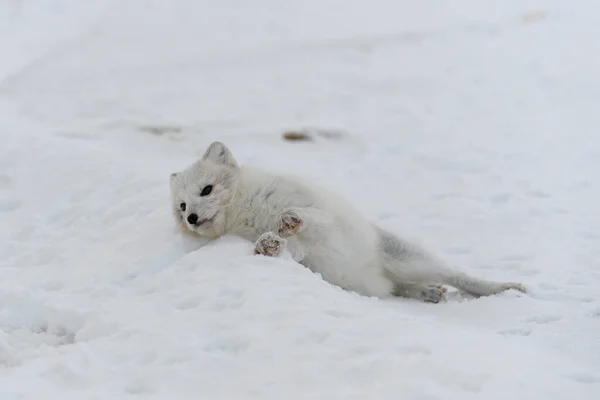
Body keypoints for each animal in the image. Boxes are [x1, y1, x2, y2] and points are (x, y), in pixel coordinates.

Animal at [169, 142, 524, 302]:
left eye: (207, 189)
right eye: (182, 206)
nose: (192, 218)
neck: (246, 211)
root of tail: (379, 276)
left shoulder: (320, 215)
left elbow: (310, 219)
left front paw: (291, 220)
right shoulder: (303, 258)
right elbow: (288, 249)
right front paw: (269, 245)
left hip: (408, 257)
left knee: (457, 276)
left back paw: (505, 288)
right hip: (386, 281)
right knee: (401, 289)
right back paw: (427, 293)